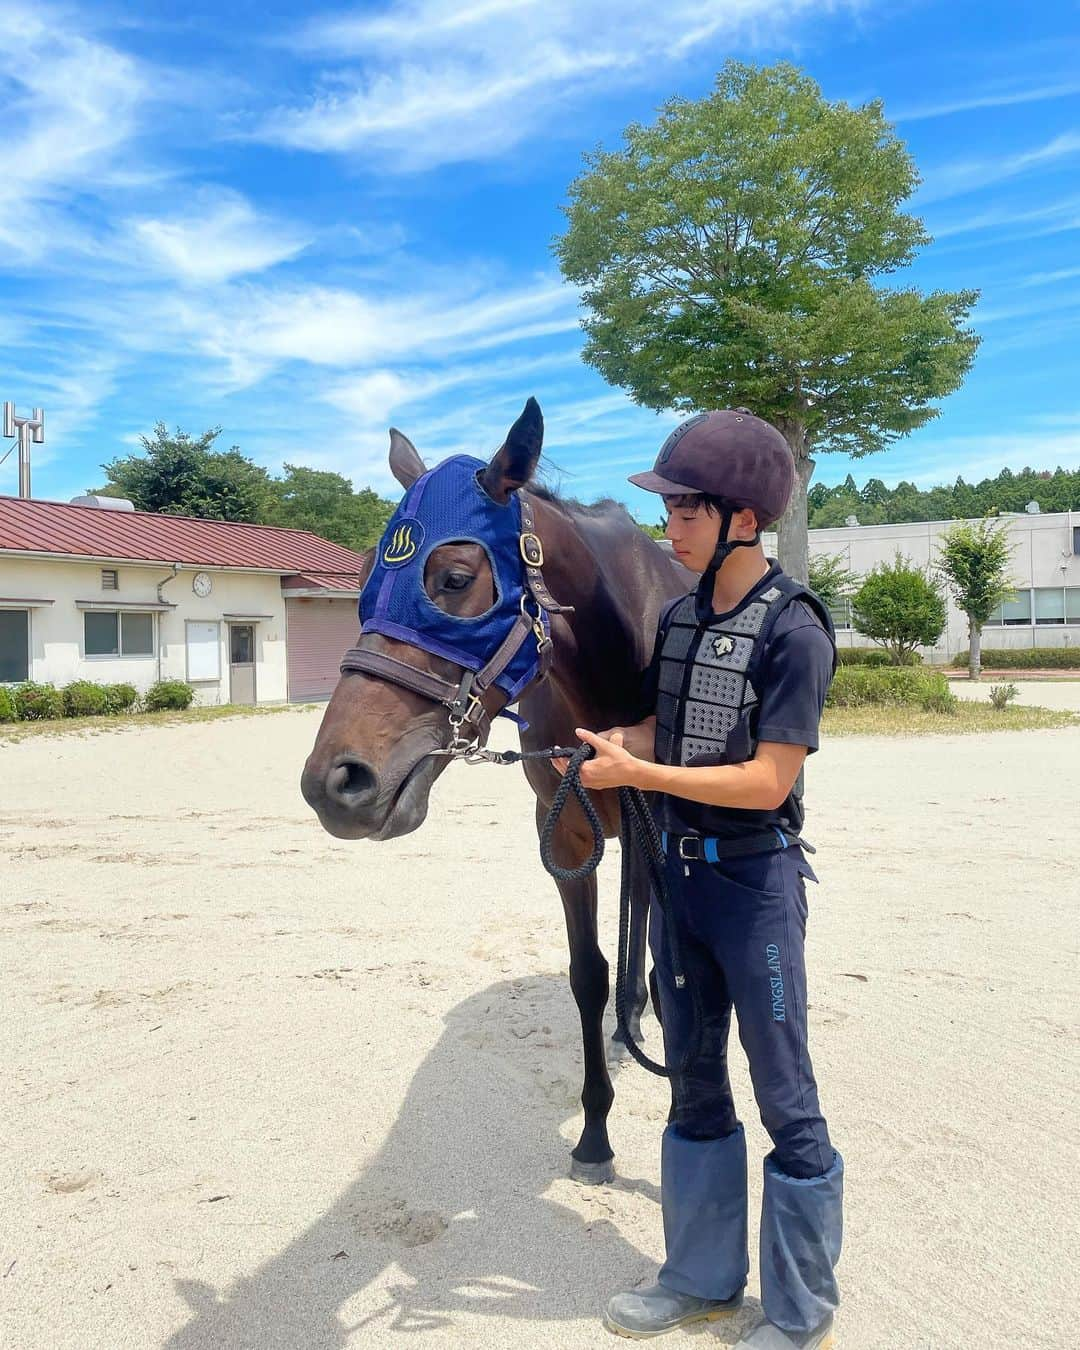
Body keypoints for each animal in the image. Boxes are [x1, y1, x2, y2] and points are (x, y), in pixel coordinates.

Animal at [297, 396, 691, 1182]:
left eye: (451, 579)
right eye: (365, 585)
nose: (335, 783)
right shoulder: (565, 830)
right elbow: (587, 974)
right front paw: (594, 1132)